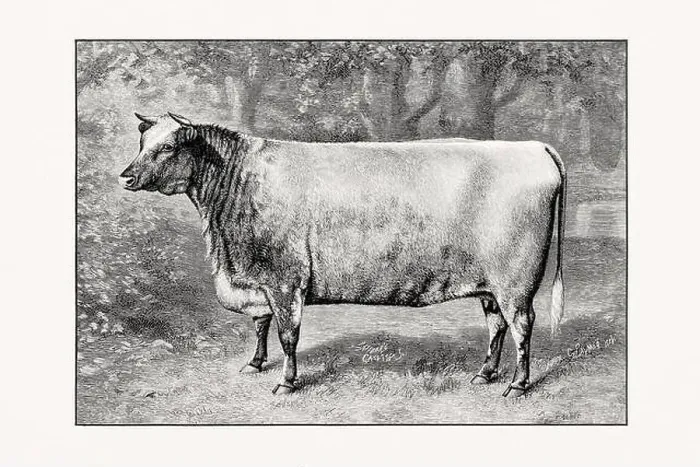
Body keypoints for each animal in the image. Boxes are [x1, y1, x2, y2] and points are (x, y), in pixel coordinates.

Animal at [119, 112, 566, 398]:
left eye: (169, 146)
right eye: (142, 142)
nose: (125, 175)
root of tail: (535, 147)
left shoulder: (285, 279)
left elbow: (287, 333)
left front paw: (286, 382)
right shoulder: (258, 278)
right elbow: (261, 324)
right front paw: (255, 363)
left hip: (515, 281)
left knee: (522, 325)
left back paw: (517, 384)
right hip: (489, 283)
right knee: (497, 325)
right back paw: (485, 374)